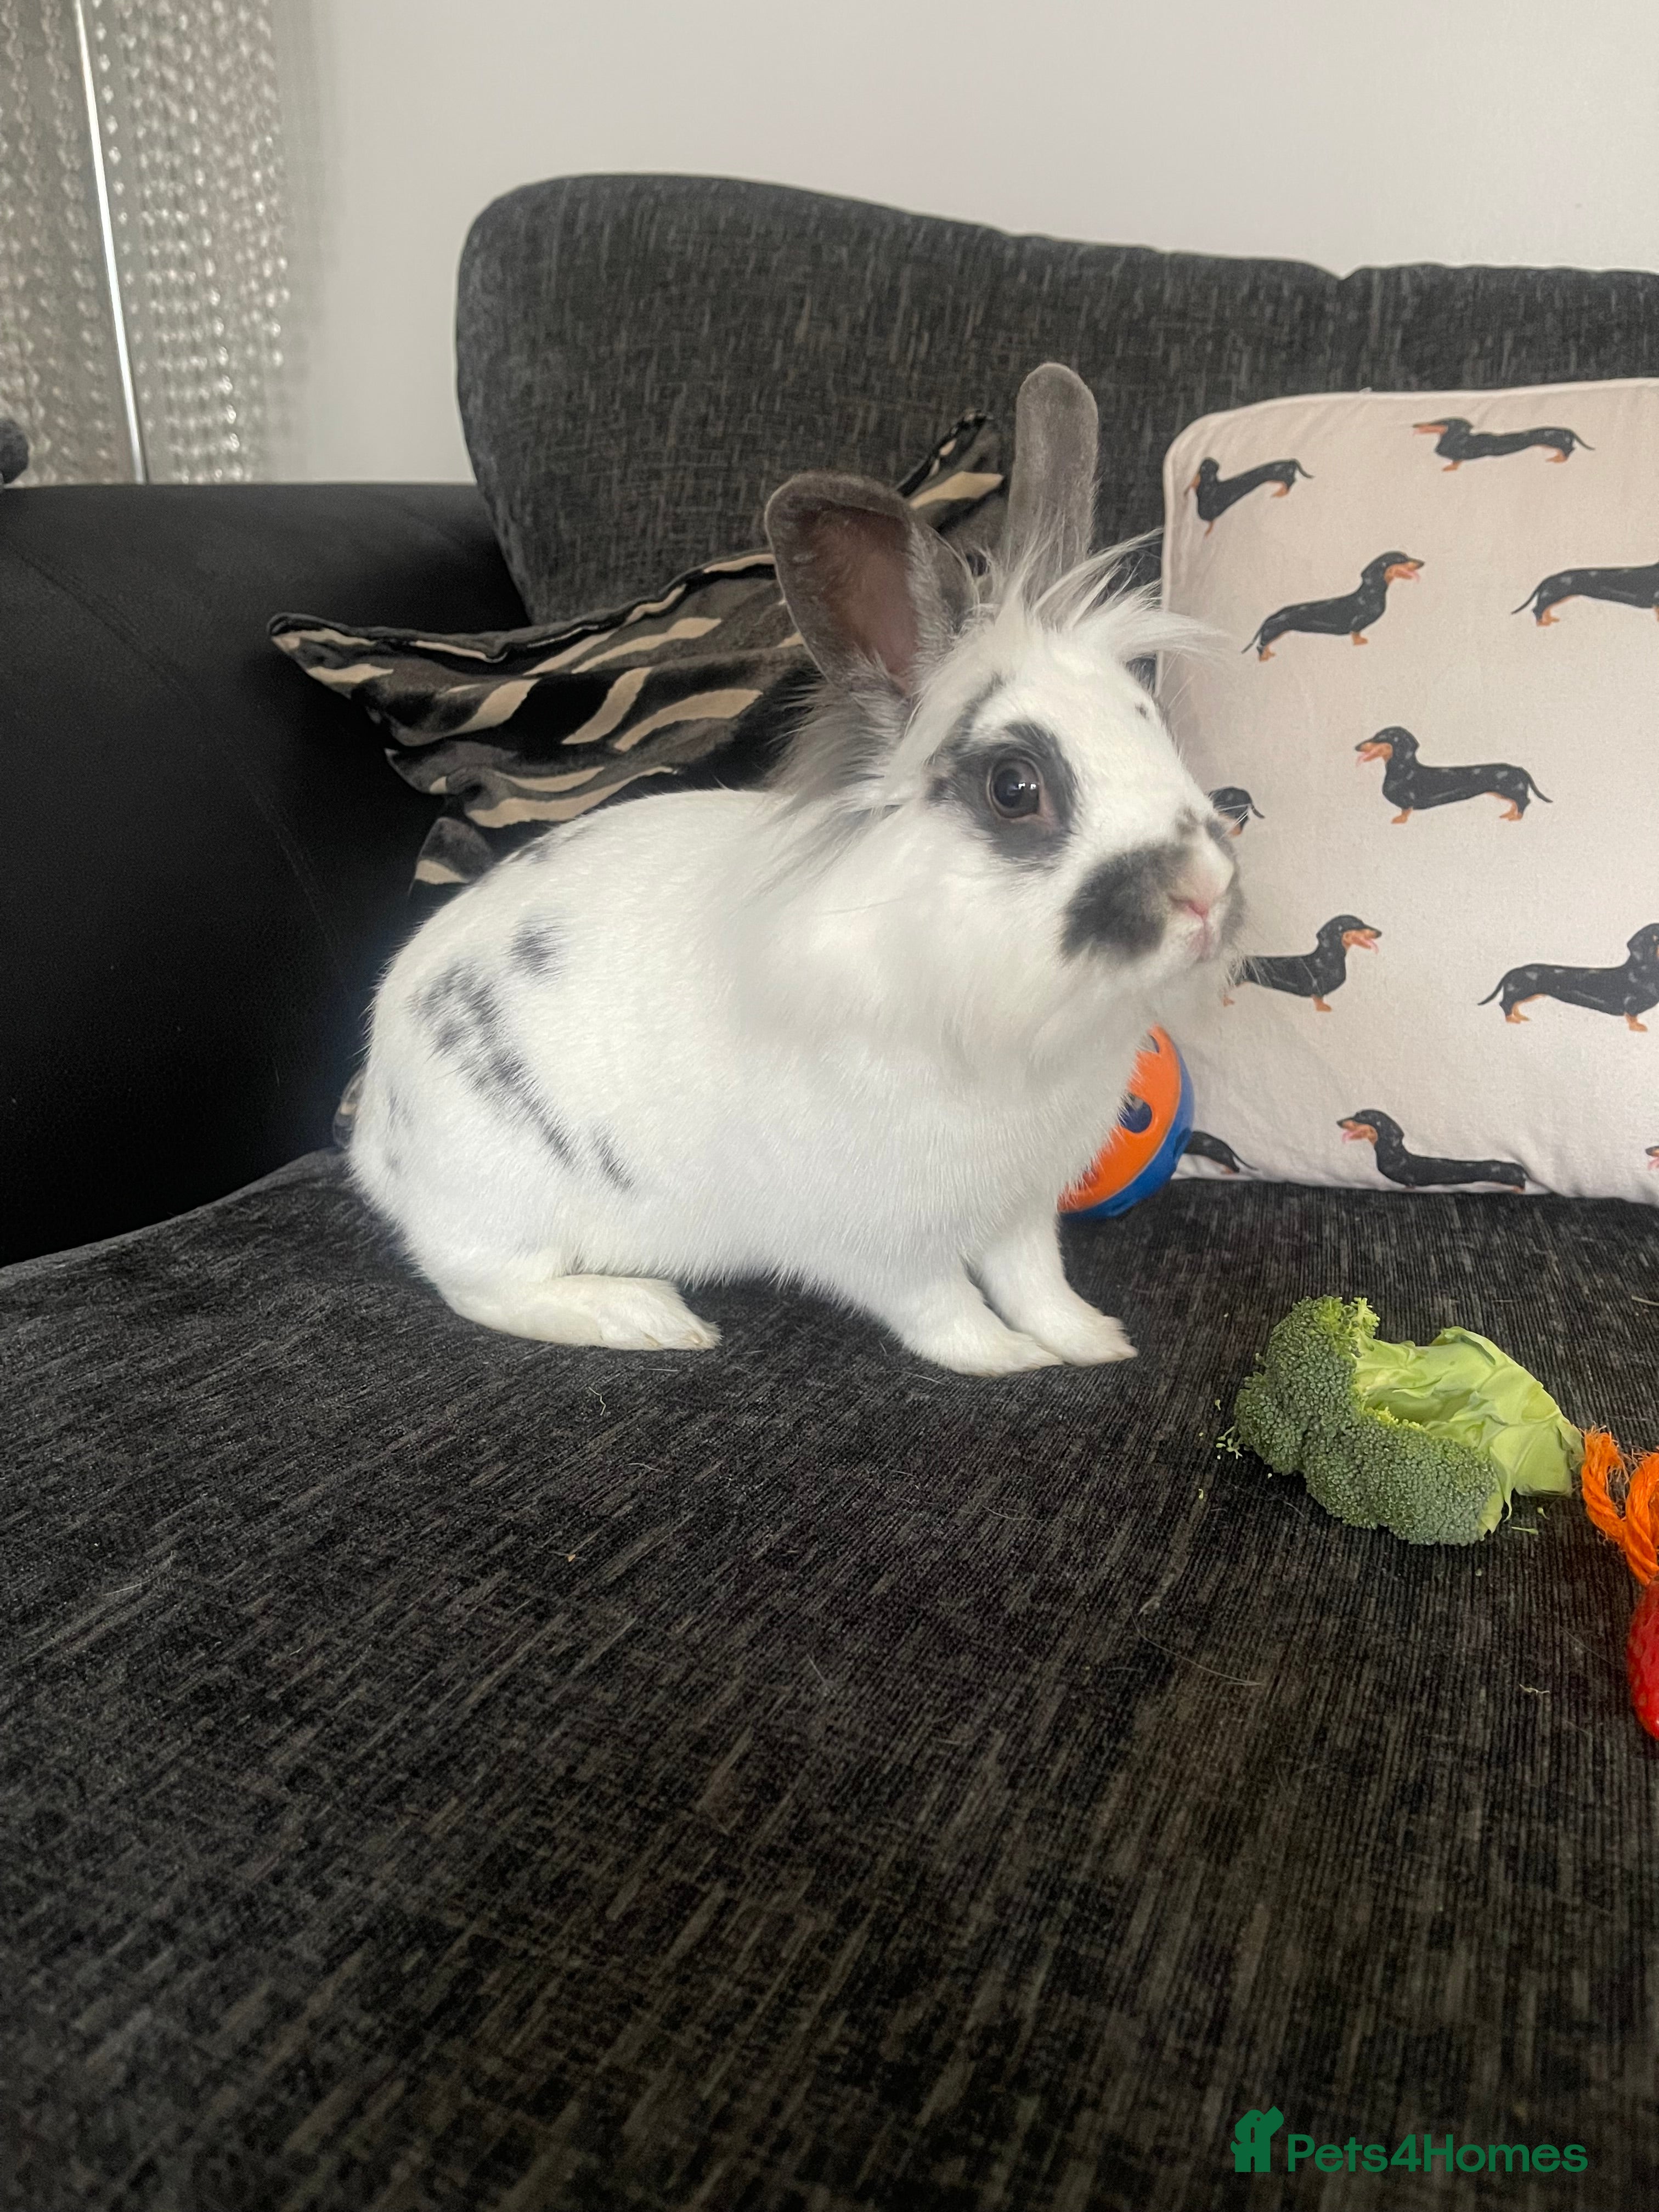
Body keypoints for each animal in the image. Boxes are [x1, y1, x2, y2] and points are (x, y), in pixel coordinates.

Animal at [350, 363, 1241, 1375]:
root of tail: (377, 1128)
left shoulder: (1020, 1210)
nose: (1204, 892)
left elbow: (1034, 1279)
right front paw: (1005, 1359)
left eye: (1151, 721)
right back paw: (646, 1315)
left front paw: (1091, 1341)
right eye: (1014, 788)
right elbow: (941, 1306)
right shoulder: (883, 1239)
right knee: (481, 1286)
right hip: (502, 1206)